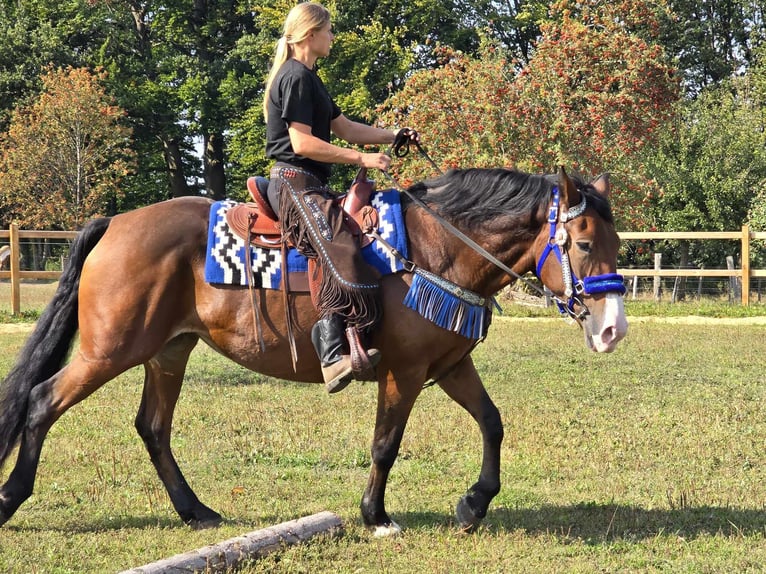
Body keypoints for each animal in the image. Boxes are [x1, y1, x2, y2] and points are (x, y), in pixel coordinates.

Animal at [0, 168, 628, 540]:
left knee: (152, 427)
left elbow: (493, 423)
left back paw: (196, 511)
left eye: (616, 243)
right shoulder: (403, 371)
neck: (435, 249)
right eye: (584, 243)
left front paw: (474, 503)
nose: (613, 330)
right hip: (110, 350)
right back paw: (11, 496)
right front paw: (376, 516)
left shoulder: (449, 365)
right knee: (41, 401)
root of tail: (116, 224)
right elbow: (385, 444)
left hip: (168, 352)